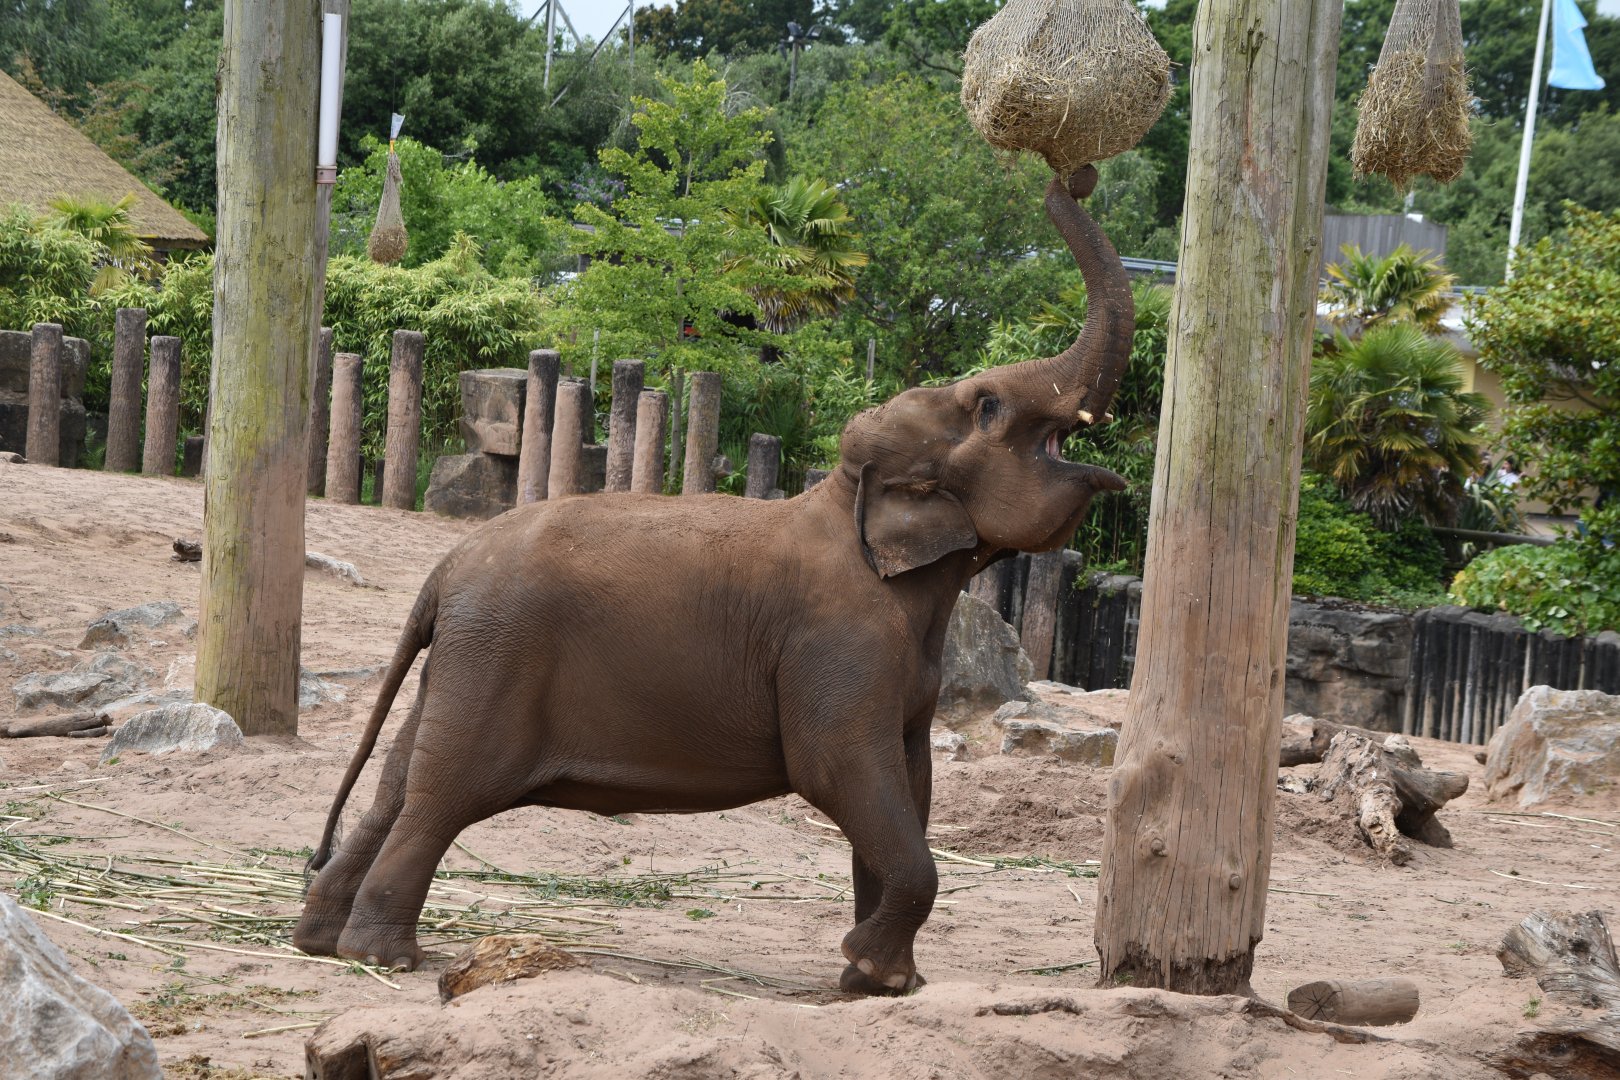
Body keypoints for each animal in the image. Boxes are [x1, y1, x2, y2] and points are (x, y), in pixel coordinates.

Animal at [292, 165, 1134, 996]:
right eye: (988, 405)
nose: (1073, 176)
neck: (847, 500)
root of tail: (446, 568)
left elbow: (908, 784)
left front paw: (879, 984)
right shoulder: (838, 648)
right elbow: (840, 768)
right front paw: (869, 968)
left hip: (464, 661)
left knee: (399, 783)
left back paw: (320, 941)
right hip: (494, 658)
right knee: (443, 796)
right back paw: (384, 958)